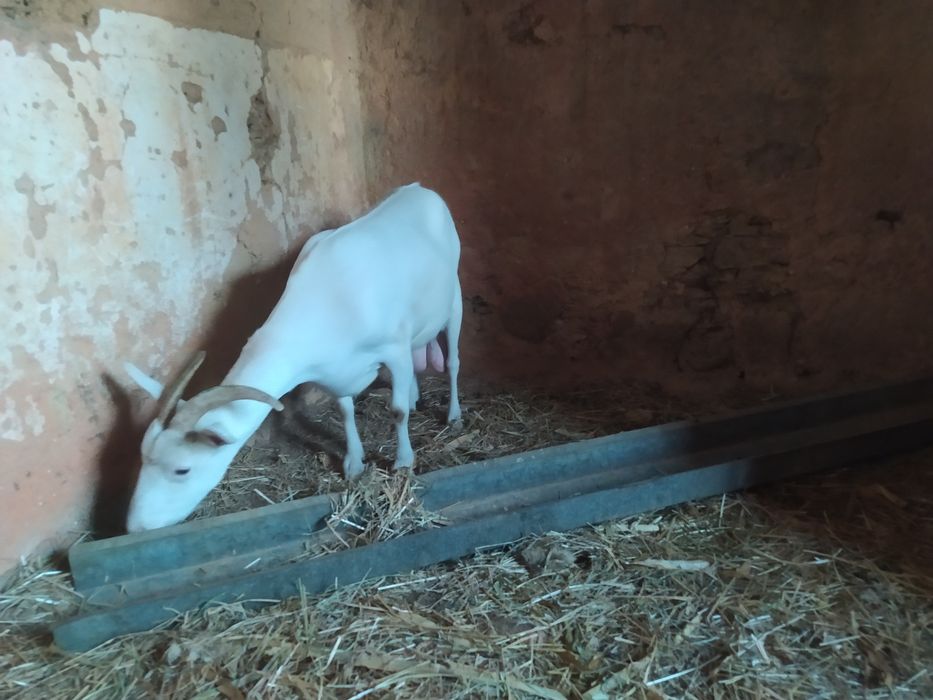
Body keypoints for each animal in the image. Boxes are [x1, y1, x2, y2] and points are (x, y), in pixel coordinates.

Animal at [123, 183, 463, 532]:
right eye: (143, 455)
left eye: (182, 469)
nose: (135, 527)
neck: (328, 297)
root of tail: (419, 189)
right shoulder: (339, 369)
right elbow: (345, 411)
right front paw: (354, 463)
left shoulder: (393, 348)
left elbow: (396, 412)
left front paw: (403, 462)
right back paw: (414, 396)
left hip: (454, 300)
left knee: (452, 362)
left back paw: (453, 414)